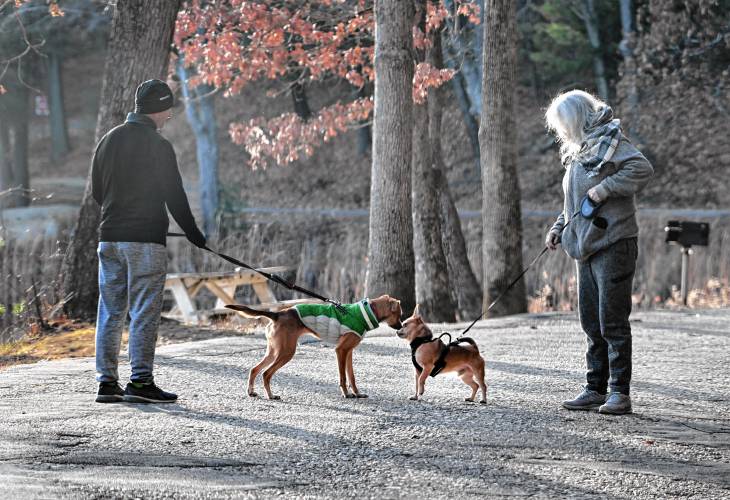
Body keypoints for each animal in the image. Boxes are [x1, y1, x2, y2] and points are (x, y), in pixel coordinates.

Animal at [225, 294, 400, 400]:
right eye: (398, 314)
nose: (400, 328)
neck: (367, 312)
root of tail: (278, 314)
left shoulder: (349, 352)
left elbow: (352, 377)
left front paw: (357, 393)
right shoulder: (341, 351)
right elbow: (343, 377)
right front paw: (346, 393)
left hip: (274, 351)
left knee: (254, 369)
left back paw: (251, 391)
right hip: (286, 352)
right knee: (266, 373)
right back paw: (271, 396)